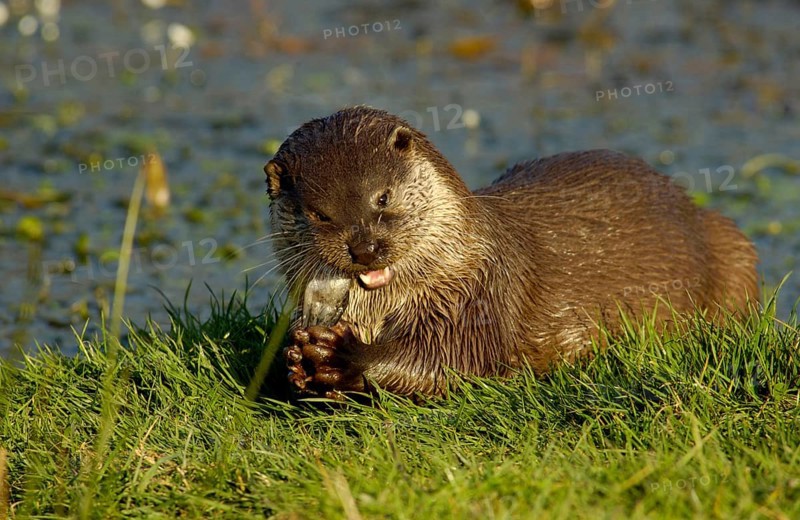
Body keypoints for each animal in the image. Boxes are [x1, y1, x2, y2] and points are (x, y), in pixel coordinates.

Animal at [264, 106, 758, 398]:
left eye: (381, 197)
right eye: (319, 214)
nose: (365, 247)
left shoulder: (477, 296)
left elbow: (444, 362)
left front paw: (342, 358)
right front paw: (296, 362)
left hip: (733, 249)